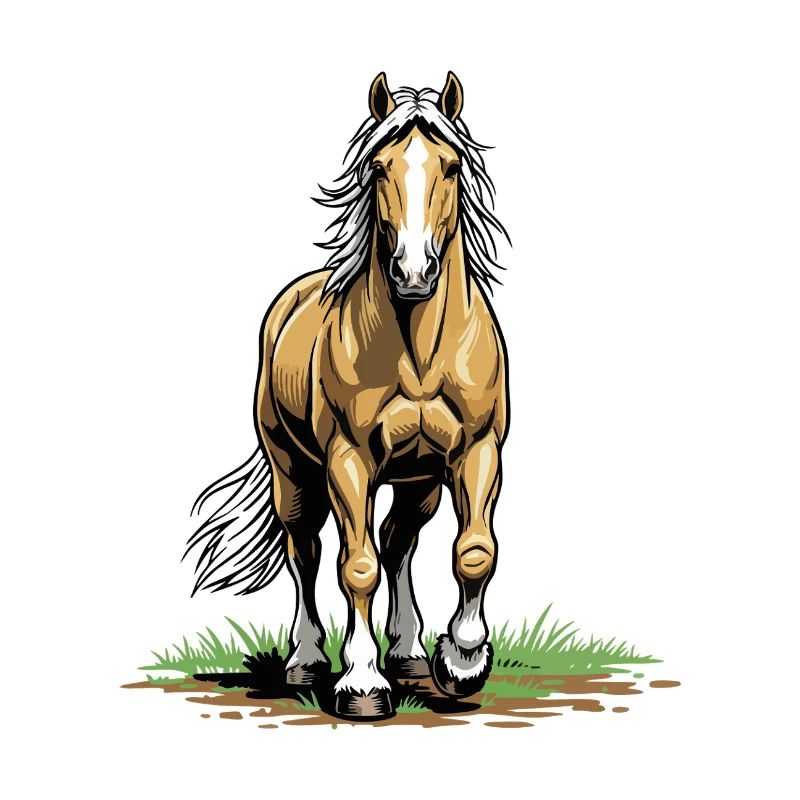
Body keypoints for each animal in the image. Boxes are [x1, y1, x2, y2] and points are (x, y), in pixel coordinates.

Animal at [185, 72, 510, 720]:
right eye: (378, 168)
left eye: (451, 165)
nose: (414, 272)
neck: (419, 351)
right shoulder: (349, 462)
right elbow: (355, 567)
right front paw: (361, 683)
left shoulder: (477, 452)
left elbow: (473, 551)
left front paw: (461, 660)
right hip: (294, 471)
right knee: (306, 551)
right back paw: (308, 659)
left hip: (418, 480)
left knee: (399, 542)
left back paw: (408, 653)